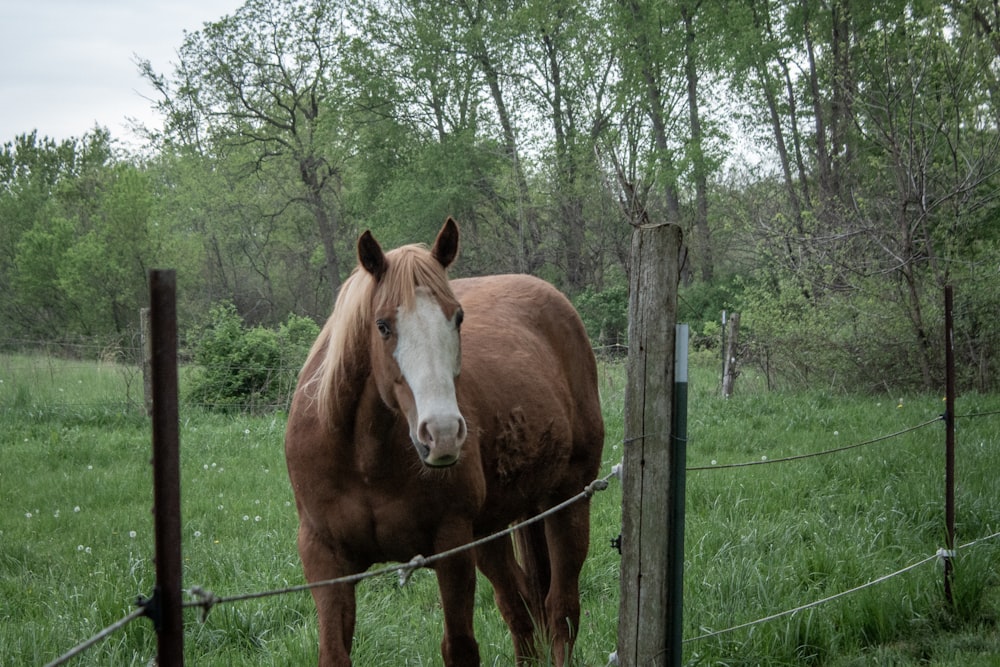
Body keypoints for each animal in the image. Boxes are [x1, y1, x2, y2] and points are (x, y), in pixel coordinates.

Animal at [286, 219, 604, 667]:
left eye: (458, 317)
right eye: (382, 325)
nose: (443, 434)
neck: (363, 459)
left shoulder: (452, 548)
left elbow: (460, 647)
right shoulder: (324, 560)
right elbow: (333, 653)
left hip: (568, 500)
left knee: (561, 610)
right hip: (493, 528)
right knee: (521, 608)